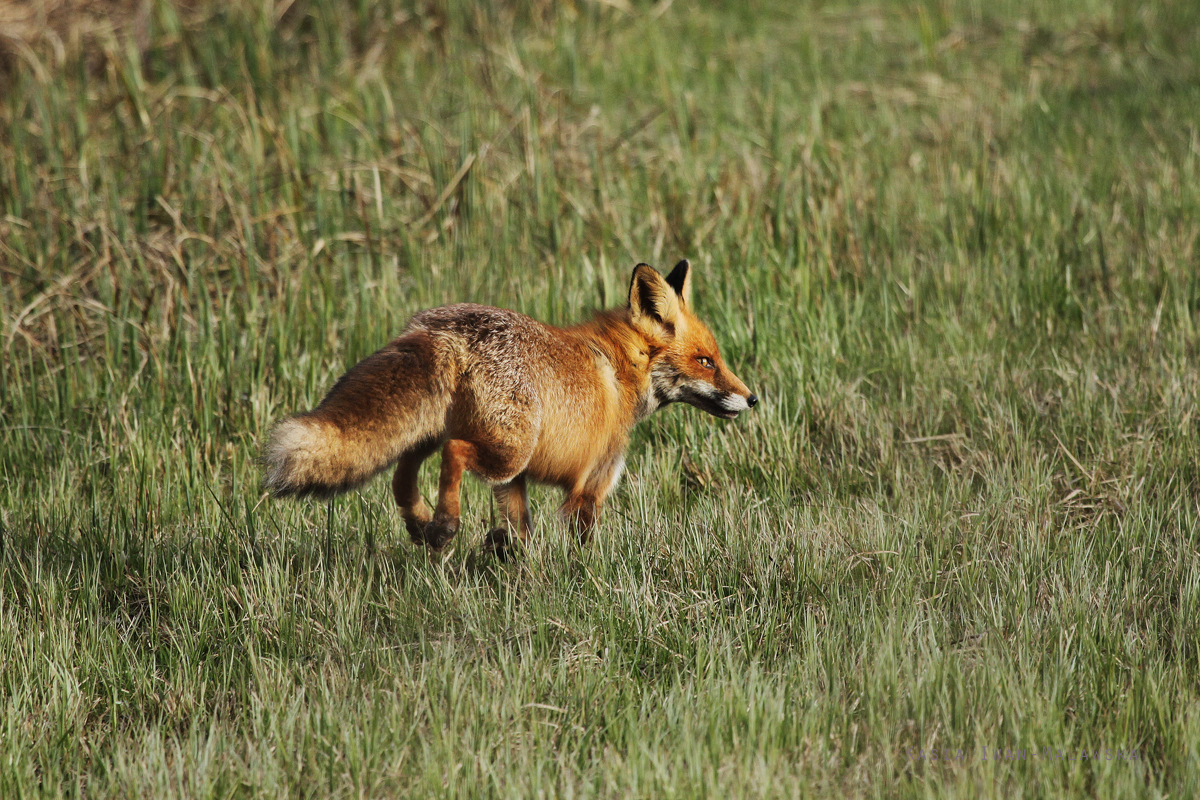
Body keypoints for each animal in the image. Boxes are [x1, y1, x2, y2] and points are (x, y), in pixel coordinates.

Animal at [264, 262, 753, 556]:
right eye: (706, 362)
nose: (752, 398)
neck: (620, 370)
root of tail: (442, 330)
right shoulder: (590, 485)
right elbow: (581, 545)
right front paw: (585, 581)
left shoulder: (515, 484)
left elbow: (521, 531)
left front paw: (516, 566)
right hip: (506, 449)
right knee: (454, 454)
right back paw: (444, 524)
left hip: (433, 434)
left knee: (402, 477)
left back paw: (423, 525)